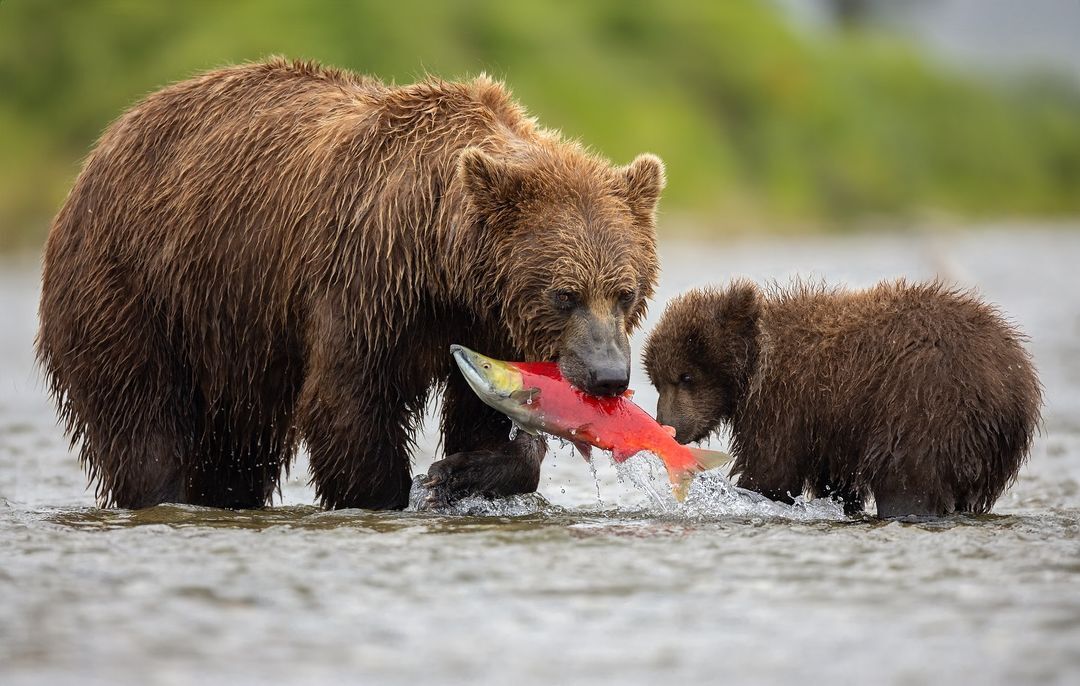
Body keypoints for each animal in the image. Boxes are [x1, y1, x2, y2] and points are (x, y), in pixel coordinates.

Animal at [38, 57, 660, 509]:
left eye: (624, 292)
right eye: (565, 294)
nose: (608, 375)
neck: (443, 264)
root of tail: (104, 145)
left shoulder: (487, 323)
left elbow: (485, 417)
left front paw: (459, 472)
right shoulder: (366, 280)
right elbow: (347, 401)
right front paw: (392, 491)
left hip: (235, 342)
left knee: (234, 451)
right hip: (134, 290)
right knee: (142, 424)